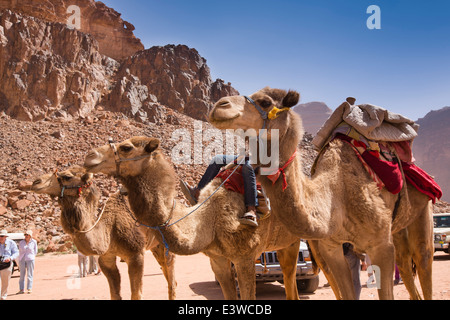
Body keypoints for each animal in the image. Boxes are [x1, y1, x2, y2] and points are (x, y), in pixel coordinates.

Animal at [29, 168, 177, 300]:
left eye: (67, 176)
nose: (35, 182)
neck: (109, 230)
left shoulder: (135, 254)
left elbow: (136, 295)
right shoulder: (106, 258)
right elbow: (115, 295)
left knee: (171, 278)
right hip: (155, 245)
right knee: (166, 272)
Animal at [83, 137, 310, 300]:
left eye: (126, 147)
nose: (89, 157)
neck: (210, 219)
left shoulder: (245, 257)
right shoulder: (217, 259)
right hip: (287, 243)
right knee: (289, 275)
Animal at [208, 85, 436, 300]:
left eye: (265, 102)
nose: (219, 106)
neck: (337, 196)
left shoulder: (381, 245)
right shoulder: (331, 248)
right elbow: (347, 293)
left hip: (423, 208)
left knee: (423, 257)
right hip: (397, 228)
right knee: (405, 262)